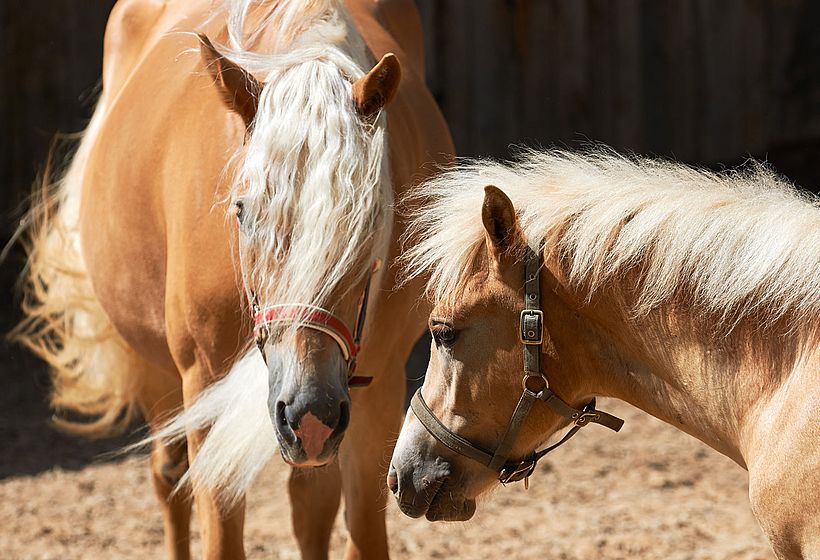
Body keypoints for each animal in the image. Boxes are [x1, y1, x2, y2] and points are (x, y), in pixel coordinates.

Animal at [17, 1, 454, 560]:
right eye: (243, 211)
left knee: (310, 500)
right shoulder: (203, 386)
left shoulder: (376, 386)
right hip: (159, 371)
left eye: (372, 216)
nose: (309, 412)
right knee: (170, 479)